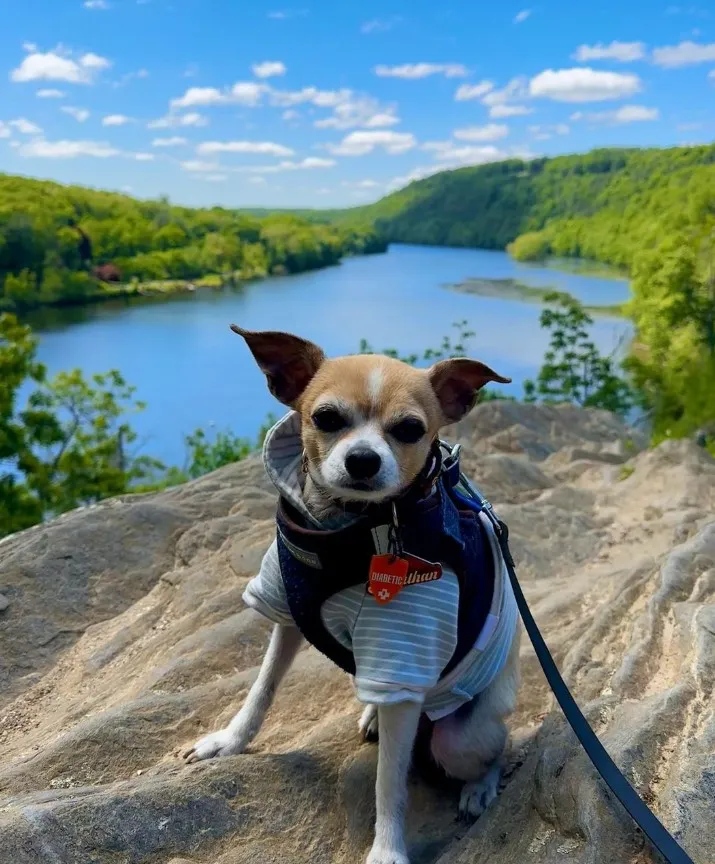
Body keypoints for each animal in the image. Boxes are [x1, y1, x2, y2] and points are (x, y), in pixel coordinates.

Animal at [183, 326, 520, 864]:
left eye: (410, 429)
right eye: (325, 417)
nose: (363, 459)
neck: (352, 530)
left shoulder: (402, 658)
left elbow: (390, 783)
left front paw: (387, 850)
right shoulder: (287, 608)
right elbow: (262, 688)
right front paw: (229, 742)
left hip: (462, 735)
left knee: (494, 747)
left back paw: (480, 787)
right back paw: (372, 715)